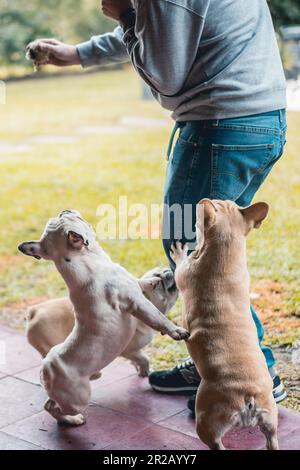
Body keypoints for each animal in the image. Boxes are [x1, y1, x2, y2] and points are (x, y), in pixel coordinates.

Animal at [171, 199, 278, 452]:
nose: (202, 200)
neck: (227, 250)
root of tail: (249, 396)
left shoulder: (185, 272)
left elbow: (180, 264)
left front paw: (179, 251)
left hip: (207, 420)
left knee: (216, 443)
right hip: (270, 419)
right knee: (272, 439)